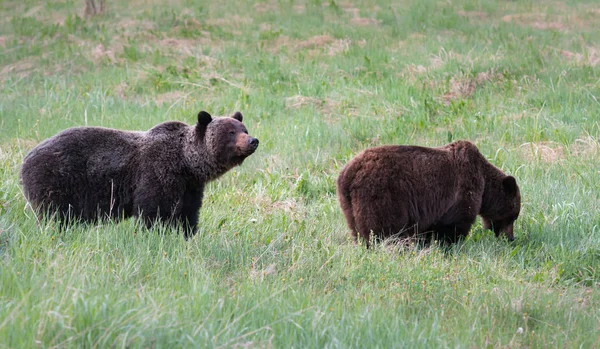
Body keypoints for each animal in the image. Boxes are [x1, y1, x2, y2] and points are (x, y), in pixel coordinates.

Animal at [18, 110, 258, 238]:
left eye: (244, 128)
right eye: (231, 132)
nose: (253, 140)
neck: (186, 163)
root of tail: (24, 160)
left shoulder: (189, 187)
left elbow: (187, 214)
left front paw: (186, 234)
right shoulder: (157, 173)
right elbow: (154, 210)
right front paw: (155, 234)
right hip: (57, 181)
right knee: (55, 215)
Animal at [338, 139, 520, 245]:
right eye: (512, 216)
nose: (511, 238)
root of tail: (349, 174)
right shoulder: (462, 190)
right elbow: (454, 224)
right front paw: (450, 244)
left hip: (348, 205)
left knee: (356, 229)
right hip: (382, 193)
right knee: (383, 229)